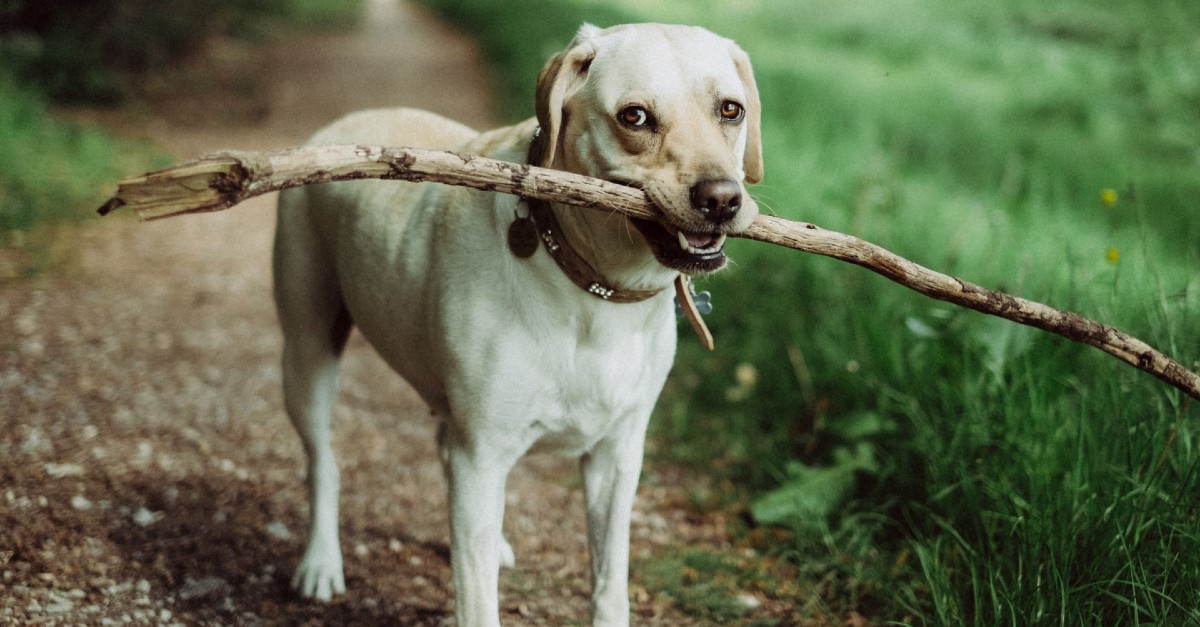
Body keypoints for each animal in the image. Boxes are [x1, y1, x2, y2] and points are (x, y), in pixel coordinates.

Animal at [272, 21, 758, 619]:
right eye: (635, 117)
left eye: (730, 110)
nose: (722, 199)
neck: (591, 290)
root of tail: (340, 124)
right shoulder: (482, 455)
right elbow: (478, 602)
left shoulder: (616, 457)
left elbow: (609, 583)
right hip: (308, 351)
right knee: (323, 463)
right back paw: (320, 562)